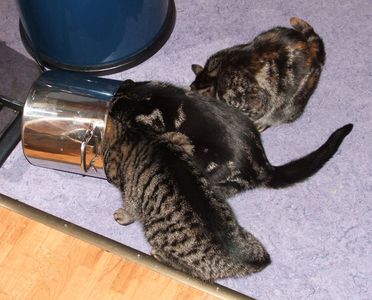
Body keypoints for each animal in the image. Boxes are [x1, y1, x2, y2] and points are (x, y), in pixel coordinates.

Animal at [104, 82, 270, 282]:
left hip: (158, 234)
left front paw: (123, 215)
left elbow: (130, 207)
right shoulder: (178, 138)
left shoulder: (131, 189)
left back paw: (160, 254)